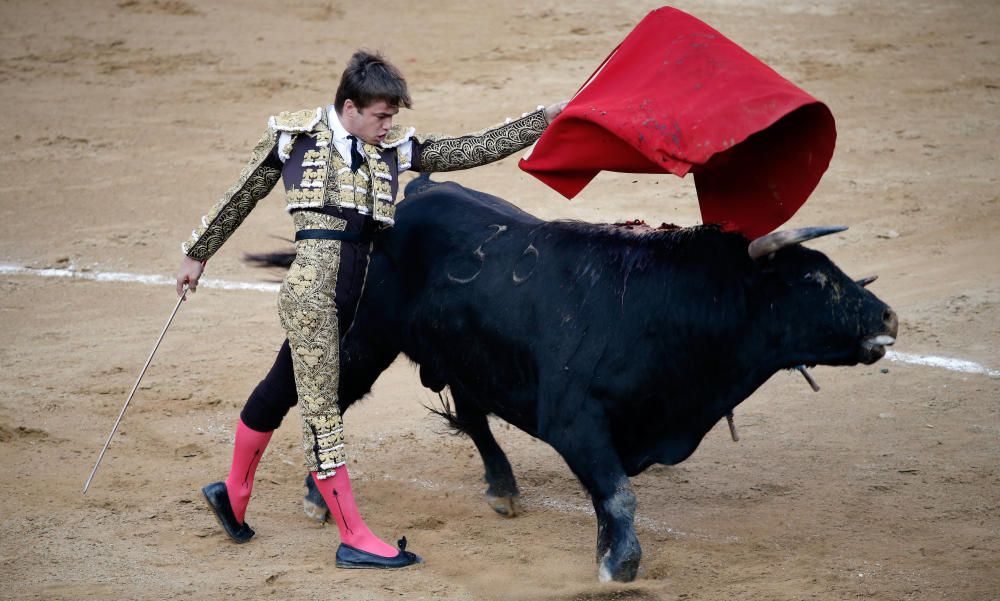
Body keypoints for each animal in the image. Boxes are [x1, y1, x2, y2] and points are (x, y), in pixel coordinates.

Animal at [286, 177, 896, 580]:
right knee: (331, 401)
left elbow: (610, 493)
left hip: (464, 352)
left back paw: (503, 489)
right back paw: (317, 500)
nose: (888, 317)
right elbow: (618, 493)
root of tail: (413, 193)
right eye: (813, 279)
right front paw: (618, 563)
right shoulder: (573, 419)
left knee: (474, 415)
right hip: (366, 338)